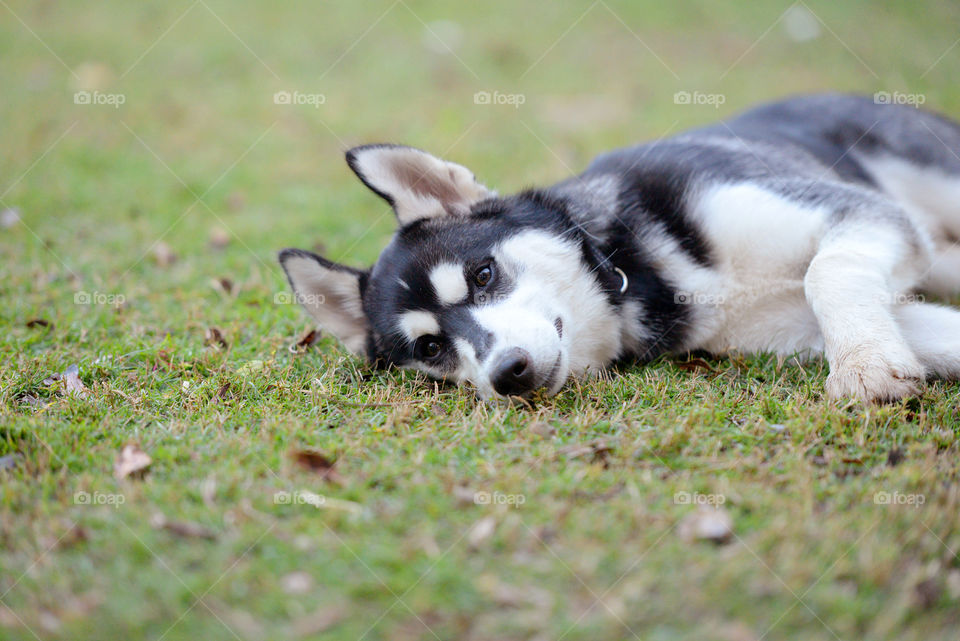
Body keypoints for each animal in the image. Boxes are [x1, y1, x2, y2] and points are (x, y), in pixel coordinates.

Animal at [278, 92, 960, 402]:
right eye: (429, 349)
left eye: (483, 274)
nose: (508, 375)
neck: (635, 270)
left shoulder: (861, 215)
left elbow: (828, 271)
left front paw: (865, 365)